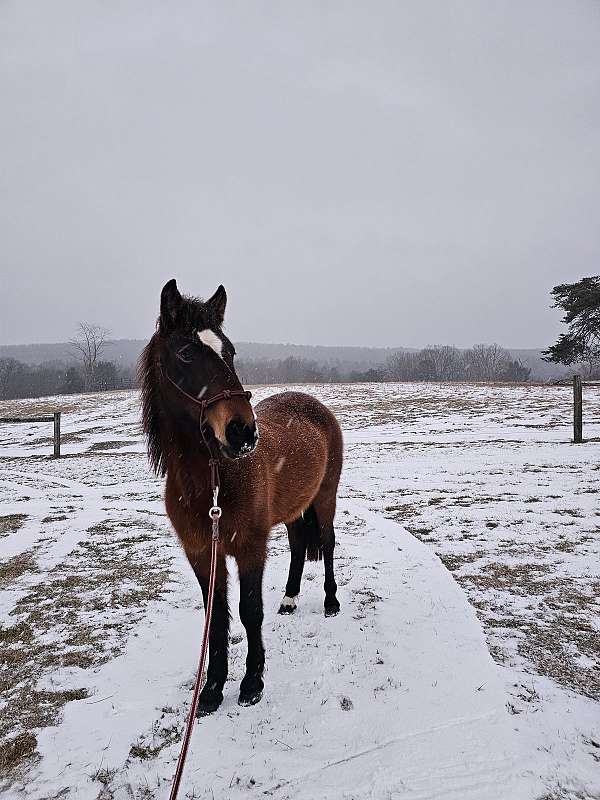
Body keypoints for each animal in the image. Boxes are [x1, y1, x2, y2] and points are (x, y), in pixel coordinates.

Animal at [139, 280, 342, 712]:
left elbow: (250, 612)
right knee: (298, 544)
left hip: (325, 498)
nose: (243, 432)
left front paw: (251, 683)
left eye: (230, 352)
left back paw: (331, 602)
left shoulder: (250, 547)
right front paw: (213, 689)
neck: (212, 483)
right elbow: (216, 618)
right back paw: (290, 599)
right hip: (293, 510)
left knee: (328, 542)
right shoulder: (203, 554)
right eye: (185, 354)